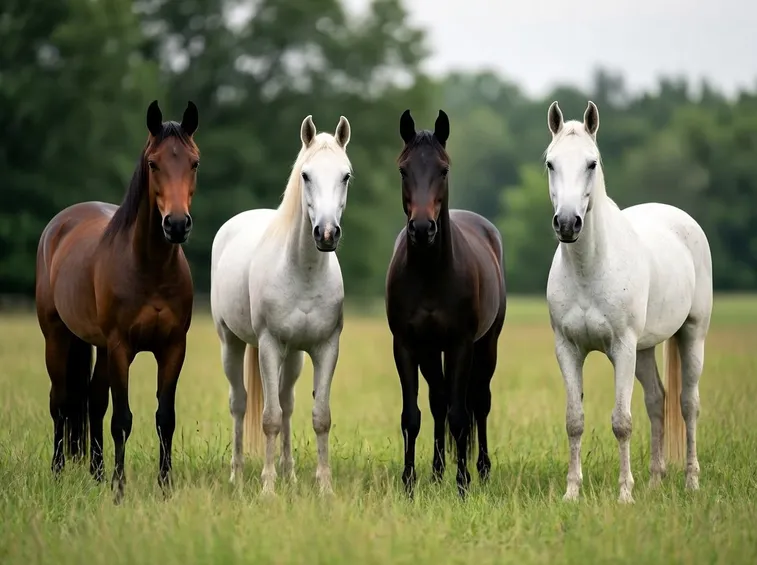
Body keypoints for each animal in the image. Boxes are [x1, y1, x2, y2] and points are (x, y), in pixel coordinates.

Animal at [35, 100, 200, 503]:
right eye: (154, 163)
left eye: (194, 162)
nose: (176, 225)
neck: (149, 268)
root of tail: (59, 225)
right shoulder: (122, 347)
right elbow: (122, 419)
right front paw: (119, 489)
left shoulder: (173, 348)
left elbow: (165, 418)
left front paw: (165, 486)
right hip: (57, 337)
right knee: (60, 402)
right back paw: (59, 472)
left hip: (100, 348)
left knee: (93, 401)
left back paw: (95, 473)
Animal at [210, 114, 352, 496]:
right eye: (306, 175)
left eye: (345, 175)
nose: (327, 234)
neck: (302, 271)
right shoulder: (270, 345)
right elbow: (269, 418)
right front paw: (268, 490)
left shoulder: (326, 347)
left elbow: (320, 417)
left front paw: (325, 488)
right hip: (232, 343)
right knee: (239, 404)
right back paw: (237, 476)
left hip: (294, 356)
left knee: (287, 403)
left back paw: (289, 474)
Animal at [385, 109, 507, 498]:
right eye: (403, 170)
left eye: (443, 170)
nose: (423, 229)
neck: (429, 274)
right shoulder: (407, 346)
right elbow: (413, 415)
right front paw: (409, 483)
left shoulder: (460, 345)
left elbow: (460, 415)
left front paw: (463, 484)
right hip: (430, 352)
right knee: (438, 402)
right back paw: (437, 471)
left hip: (487, 345)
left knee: (479, 402)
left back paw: (481, 469)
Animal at [543, 100, 712, 504]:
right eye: (550, 163)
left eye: (591, 163)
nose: (568, 224)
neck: (589, 268)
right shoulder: (567, 349)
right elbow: (574, 421)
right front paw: (571, 492)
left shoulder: (622, 348)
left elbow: (621, 422)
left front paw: (624, 494)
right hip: (645, 349)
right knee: (657, 401)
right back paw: (654, 480)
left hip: (692, 335)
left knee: (688, 404)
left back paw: (691, 481)